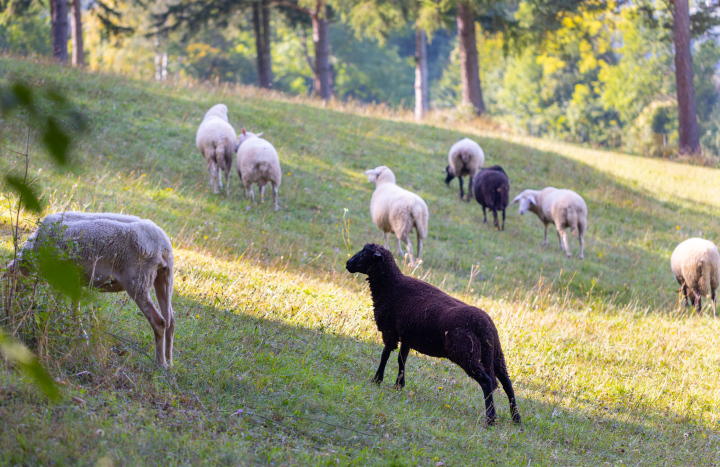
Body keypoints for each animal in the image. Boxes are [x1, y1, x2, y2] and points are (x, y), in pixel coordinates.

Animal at [5, 212, 175, 367]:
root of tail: (163, 246)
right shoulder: (75, 280)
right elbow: (75, 310)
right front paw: (81, 338)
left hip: (137, 281)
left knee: (159, 321)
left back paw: (160, 364)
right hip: (164, 278)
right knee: (171, 321)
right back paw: (170, 363)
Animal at [346, 243, 521, 425]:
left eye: (364, 254)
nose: (347, 264)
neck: (390, 285)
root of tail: (485, 326)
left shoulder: (389, 331)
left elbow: (384, 356)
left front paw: (377, 380)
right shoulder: (406, 336)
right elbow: (402, 360)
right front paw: (399, 385)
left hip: (466, 353)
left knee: (487, 382)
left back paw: (490, 418)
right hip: (495, 353)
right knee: (506, 381)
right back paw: (516, 418)